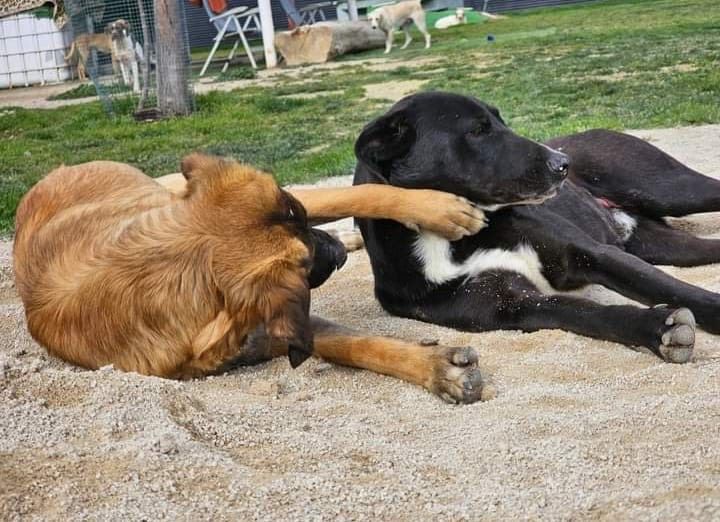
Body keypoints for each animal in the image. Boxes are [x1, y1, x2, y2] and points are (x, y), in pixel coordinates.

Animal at [15, 154, 490, 402]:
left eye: (305, 251)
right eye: (304, 264)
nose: (335, 255)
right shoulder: (275, 321)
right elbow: (344, 343)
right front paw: (435, 368)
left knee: (359, 194)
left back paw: (436, 211)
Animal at [352, 91, 720, 362]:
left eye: (500, 121)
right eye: (478, 130)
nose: (562, 164)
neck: (451, 239)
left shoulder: (591, 253)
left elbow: (672, 288)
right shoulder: (511, 305)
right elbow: (590, 314)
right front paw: (656, 329)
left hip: (672, 190)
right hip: (662, 244)